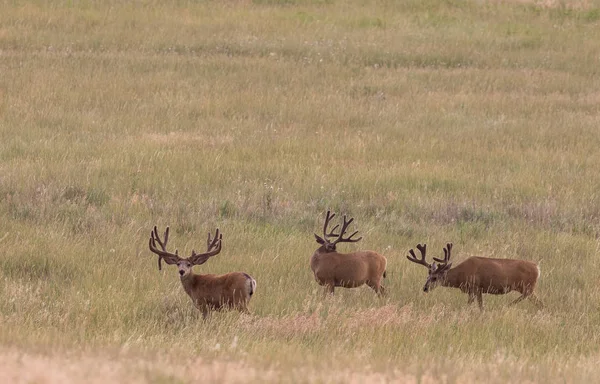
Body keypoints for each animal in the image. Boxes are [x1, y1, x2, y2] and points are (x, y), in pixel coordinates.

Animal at [406, 244, 540, 310]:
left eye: (435, 278)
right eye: (427, 276)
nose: (425, 288)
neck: (460, 276)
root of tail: (537, 268)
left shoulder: (474, 287)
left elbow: (471, 304)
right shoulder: (479, 290)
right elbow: (480, 306)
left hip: (526, 286)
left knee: (533, 299)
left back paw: (508, 305)